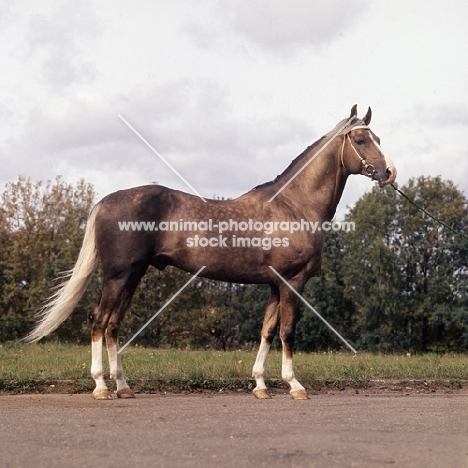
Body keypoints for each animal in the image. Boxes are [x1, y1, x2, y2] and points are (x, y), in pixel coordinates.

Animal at [24, 105, 394, 398]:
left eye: (378, 137)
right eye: (362, 140)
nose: (389, 173)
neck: (295, 205)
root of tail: (104, 201)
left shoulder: (275, 285)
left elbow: (267, 331)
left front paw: (260, 386)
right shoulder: (293, 281)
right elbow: (287, 332)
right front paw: (295, 386)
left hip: (133, 275)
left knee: (114, 324)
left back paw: (124, 387)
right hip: (118, 274)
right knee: (99, 320)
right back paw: (101, 386)